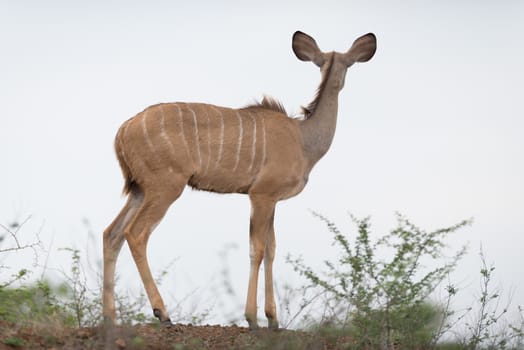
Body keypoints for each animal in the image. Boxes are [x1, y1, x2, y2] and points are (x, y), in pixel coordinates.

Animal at [104, 30, 376, 328]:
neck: (303, 139)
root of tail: (122, 131)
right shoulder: (261, 194)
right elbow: (257, 249)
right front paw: (253, 319)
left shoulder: (272, 200)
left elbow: (271, 248)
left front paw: (273, 320)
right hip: (165, 188)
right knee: (135, 234)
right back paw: (162, 313)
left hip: (140, 190)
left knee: (111, 234)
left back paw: (110, 318)